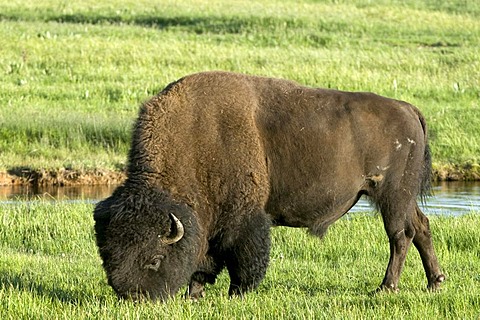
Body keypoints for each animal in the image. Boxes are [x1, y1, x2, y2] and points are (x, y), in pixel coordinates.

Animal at [94, 71, 446, 302]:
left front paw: (236, 294)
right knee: (422, 227)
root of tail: (407, 108)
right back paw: (435, 283)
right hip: (402, 198)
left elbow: (240, 258)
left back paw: (386, 287)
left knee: (400, 235)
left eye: (153, 259)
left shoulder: (243, 218)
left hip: (391, 195)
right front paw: (195, 295)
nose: (134, 298)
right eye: (108, 257)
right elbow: (205, 260)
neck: (196, 138)